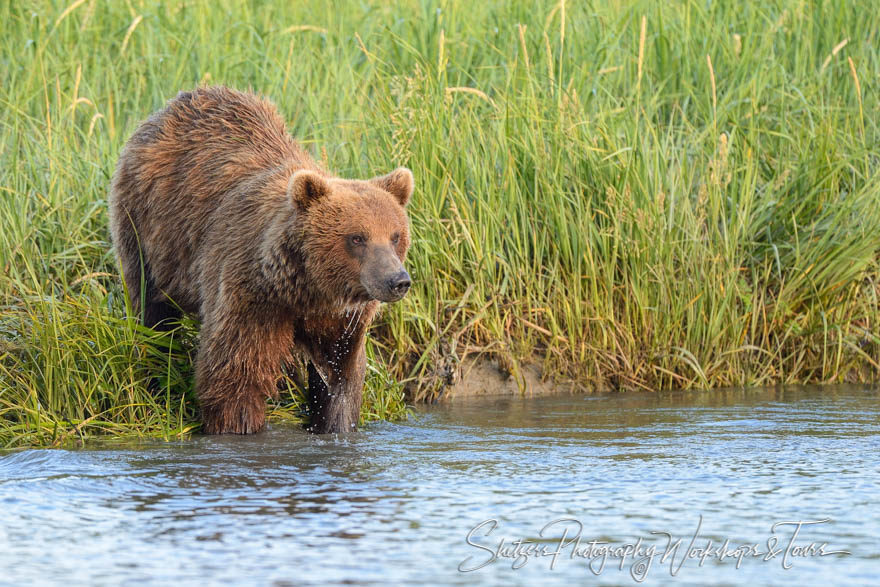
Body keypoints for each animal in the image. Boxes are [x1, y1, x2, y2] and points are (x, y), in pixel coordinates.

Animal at [109, 87, 412, 436]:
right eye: (358, 238)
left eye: (395, 236)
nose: (397, 280)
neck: (306, 288)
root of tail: (169, 108)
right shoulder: (251, 294)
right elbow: (236, 371)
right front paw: (237, 424)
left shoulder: (342, 320)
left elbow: (340, 381)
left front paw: (335, 423)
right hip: (147, 229)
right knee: (152, 309)